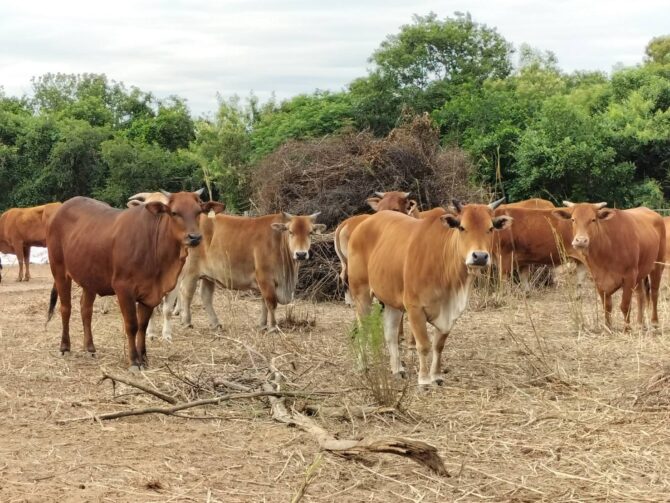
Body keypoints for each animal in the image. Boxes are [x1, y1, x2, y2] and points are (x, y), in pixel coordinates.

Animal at [48, 190, 226, 370]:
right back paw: (65, 347)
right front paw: (134, 360)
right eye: (174, 212)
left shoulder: (150, 293)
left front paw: (144, 358)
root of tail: (66, 205)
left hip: (90, 278)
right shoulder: (124, 289)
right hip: (59, 271)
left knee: (86, 309)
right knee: (66, 308)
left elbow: (142, 326)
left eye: (198, 211)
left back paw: (90, 348)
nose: (194, 237)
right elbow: (132, 325)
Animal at [178, 211, 326, 332]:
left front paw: (263, 325)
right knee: (186, 293)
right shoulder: (265, 278)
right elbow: (271, 302)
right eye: (290, 232)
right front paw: (273, 327)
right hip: (190, 271)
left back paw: (215, 324)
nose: (301, 254)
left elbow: (264, 303)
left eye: (310, 232)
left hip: (209, 276)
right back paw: (186, 322)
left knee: (206, 296)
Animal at [346, 198, 516, 386]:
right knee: (363, 329)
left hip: (392, 301)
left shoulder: (449, 314)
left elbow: (438, 346)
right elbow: (424, 345)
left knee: (390, 333)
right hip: (361, 294)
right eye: (462, 227)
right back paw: (362, 366)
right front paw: (424, 379)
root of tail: (363, 223)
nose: (479, 256)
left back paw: (397, 369)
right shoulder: (414, 308)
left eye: (490, 228)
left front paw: (436, 376)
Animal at [552, 202, 668, 330]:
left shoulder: (630, 276)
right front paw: (608, 328)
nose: (581, 241)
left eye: (593, 219)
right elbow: (607, 306)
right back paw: (639, 323)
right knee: (640, 295)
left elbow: (625, 305)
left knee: (654, 293)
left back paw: (654, 322)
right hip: (640, 272)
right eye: (573, 219)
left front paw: (626, 329)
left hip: (658, 265)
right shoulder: (599, 280)